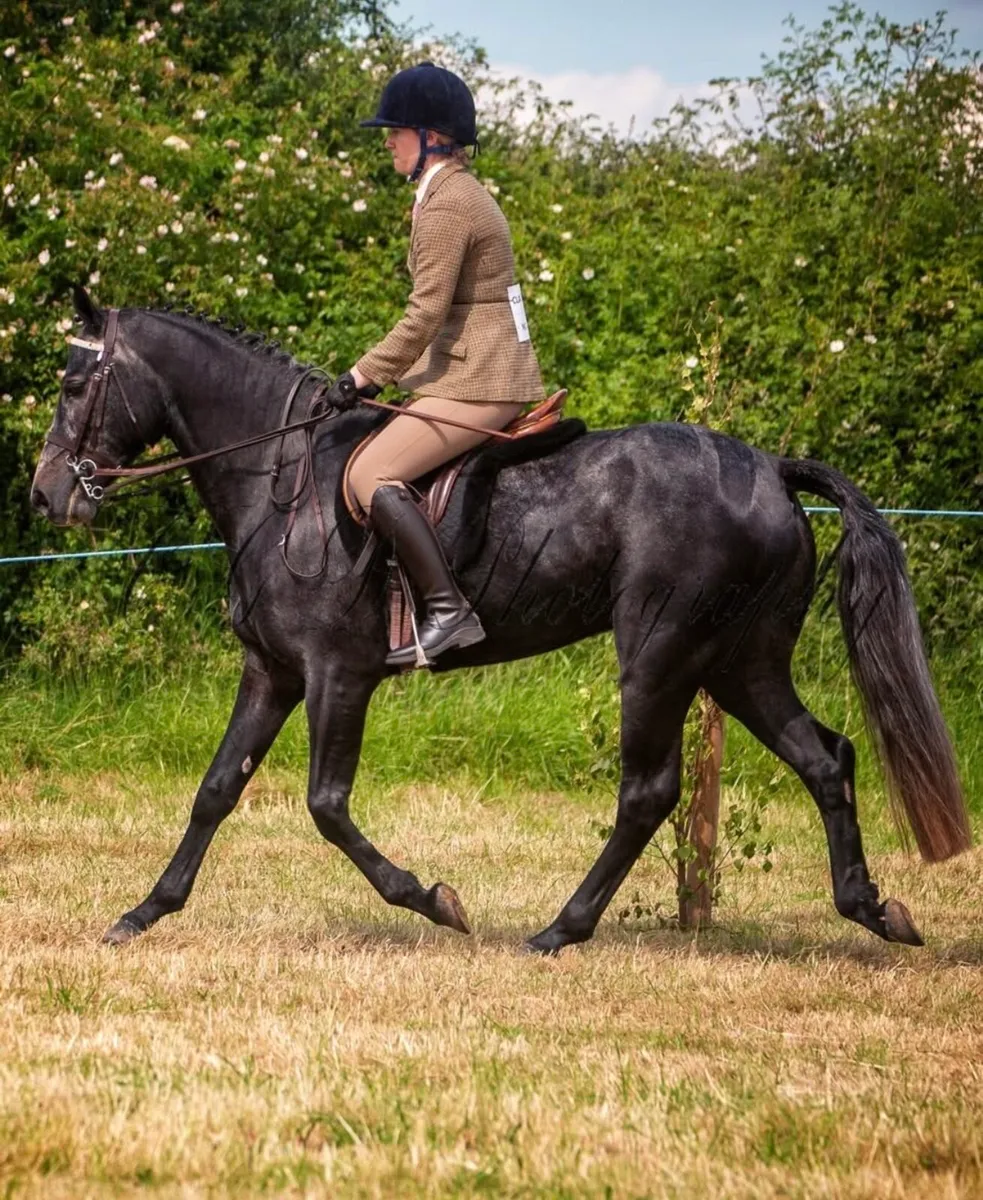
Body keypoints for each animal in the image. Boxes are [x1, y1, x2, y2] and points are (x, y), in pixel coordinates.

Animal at [29, 289, 970, 953]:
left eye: (75, 384)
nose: (46, 496)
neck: (282, 480)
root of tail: (771, 471)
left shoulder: (338, 673)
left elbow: (326, 805)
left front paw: (433, 901)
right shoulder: (274, 671)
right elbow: (216, 789)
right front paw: (144, 912)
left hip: (661, 652)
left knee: (649, 790)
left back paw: (559, 930)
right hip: (740, 661)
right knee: (823, 759)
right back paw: (872, 910)